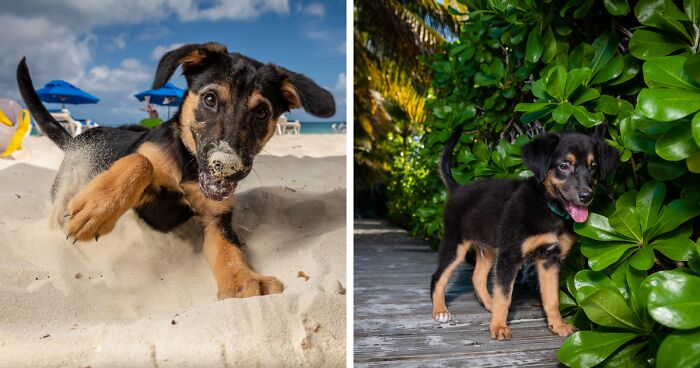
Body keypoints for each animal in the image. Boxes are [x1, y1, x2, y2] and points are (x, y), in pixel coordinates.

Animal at [15, 42, 334, 300]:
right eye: (209, 99)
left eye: (261, 113)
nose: (226, 165)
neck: (189, 169)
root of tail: (74, 140)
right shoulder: (144, 183)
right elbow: (141, 162)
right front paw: (97, 209)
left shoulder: (216, 218)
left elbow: (229, 250)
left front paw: (243, 280)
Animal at [430, 128, 616, 340]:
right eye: (564, 166)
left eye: (593, 168)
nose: (586, 196)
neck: (549, 207)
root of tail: (458, 188)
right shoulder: (509, 256)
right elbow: (504, 295)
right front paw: (499, 327)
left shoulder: (550, 258)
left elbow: (552, 298)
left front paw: (558, 325)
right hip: (456, 244)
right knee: (438, 277)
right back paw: (441, 311)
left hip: (488, 248)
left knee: (477, 277)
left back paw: (489, 304)